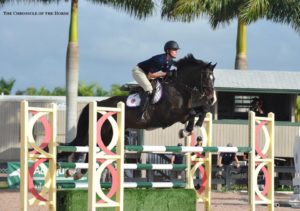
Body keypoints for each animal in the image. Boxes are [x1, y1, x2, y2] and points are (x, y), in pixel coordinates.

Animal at [58, 53, 217, 179]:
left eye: (214, 78)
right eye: (206, 77)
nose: (212, 99)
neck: (178, 88)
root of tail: (98, 104)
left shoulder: (183, 113)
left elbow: (200, 110)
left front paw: (193, 126)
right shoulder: (172, 116)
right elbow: (192, 112)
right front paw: (185, 130)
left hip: (108, 134)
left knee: (90, 146)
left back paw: (78, 172)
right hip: (101, 130)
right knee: (85, 144)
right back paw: (74, 171)